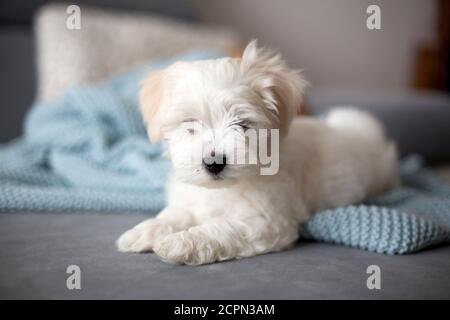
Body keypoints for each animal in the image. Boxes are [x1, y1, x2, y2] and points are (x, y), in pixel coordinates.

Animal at [116, 40, 398, 264]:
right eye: (190, 123)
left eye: (242, 123)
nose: (213, 162)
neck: (222, 189)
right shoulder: (189, 201)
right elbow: (173, 215)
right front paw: (144, 231)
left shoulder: (263, 221)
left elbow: (218, 230)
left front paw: (179, 243)